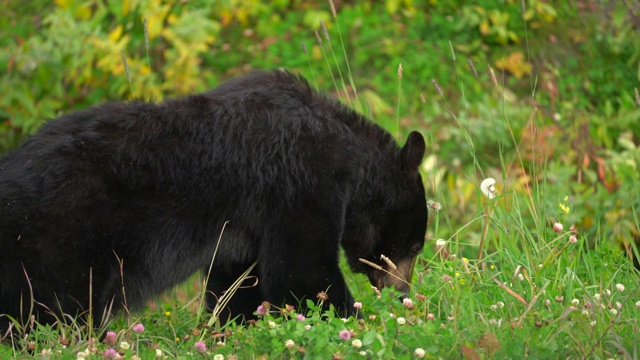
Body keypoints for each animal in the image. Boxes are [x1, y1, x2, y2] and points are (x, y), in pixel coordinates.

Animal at [1, 68, 430, 330]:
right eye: (414, 246)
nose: (402, 294)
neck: (348, 155)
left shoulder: (245, 228)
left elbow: (240, 281)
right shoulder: (301, 181)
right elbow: (303, 269)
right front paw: (352, 319)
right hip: (58, 237)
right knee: (46, 305)